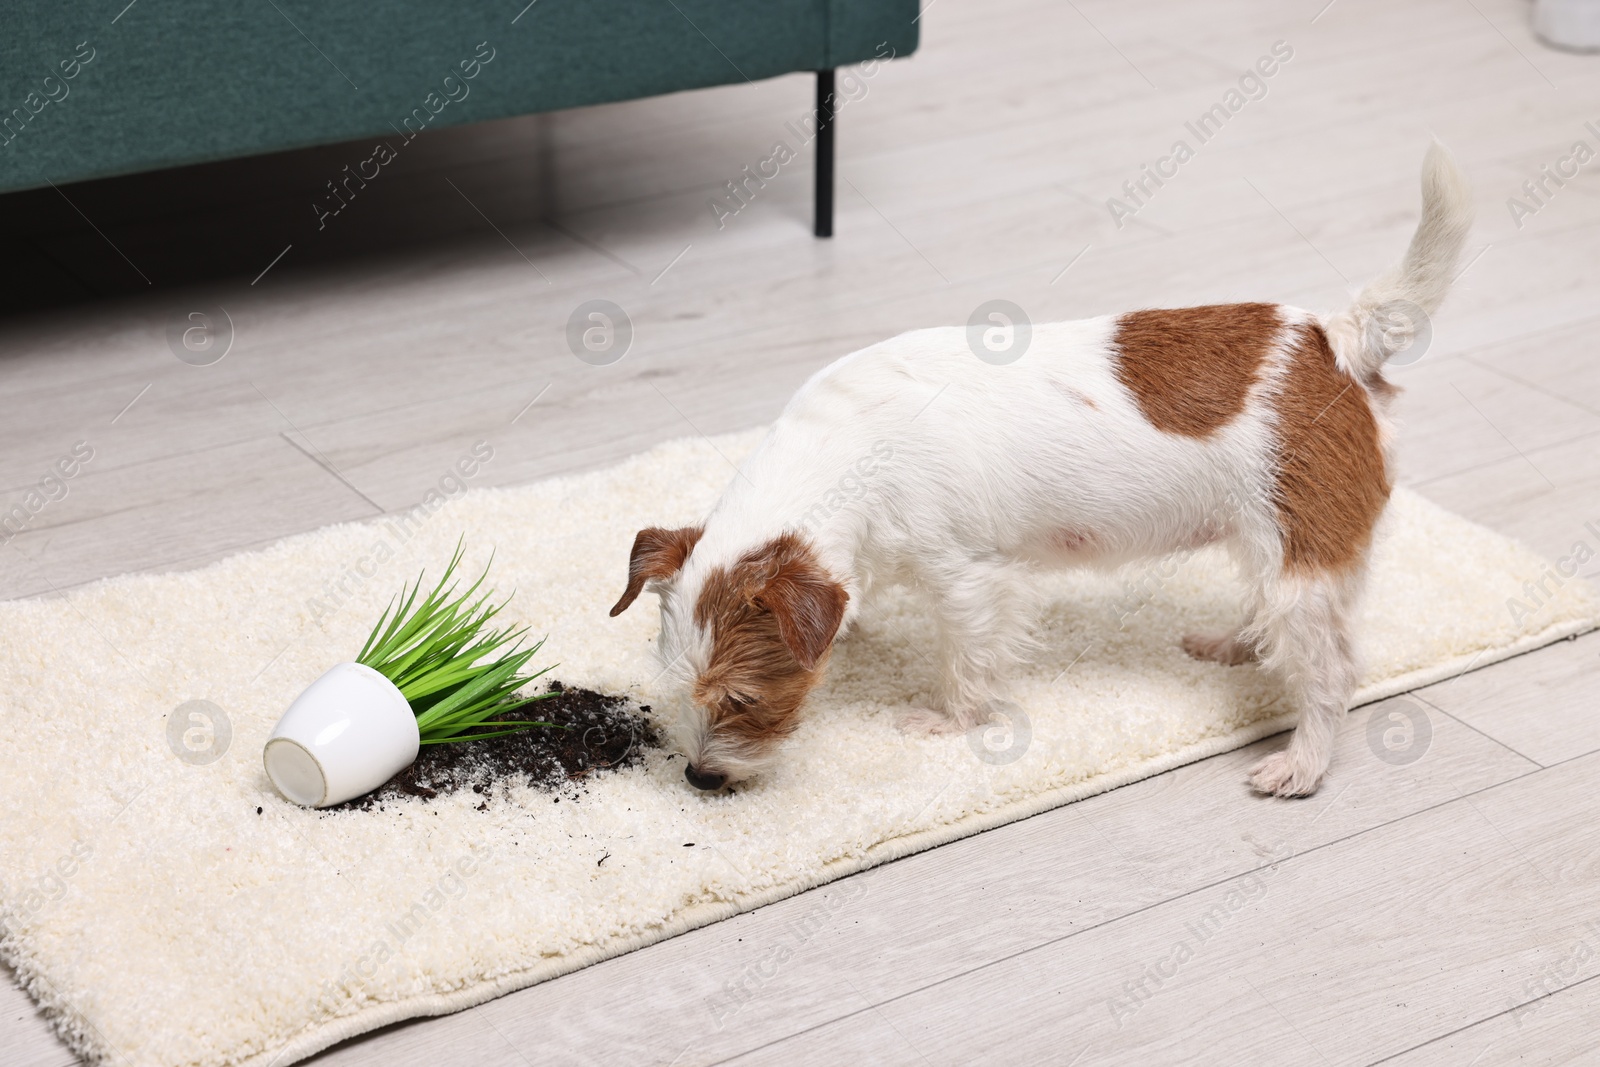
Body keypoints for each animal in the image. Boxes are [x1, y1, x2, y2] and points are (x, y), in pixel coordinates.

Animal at [611, 143, 1472, 793]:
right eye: (673, 688)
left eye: (742, 699)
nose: (699, 778)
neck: (844, 451)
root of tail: (1336, 340)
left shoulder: (967, 581)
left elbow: (966, 667)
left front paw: (945, 721)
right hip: (1281, 551)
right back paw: (1237, 643)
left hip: (1300, 565)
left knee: (1331, 675)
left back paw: (1302, 764)